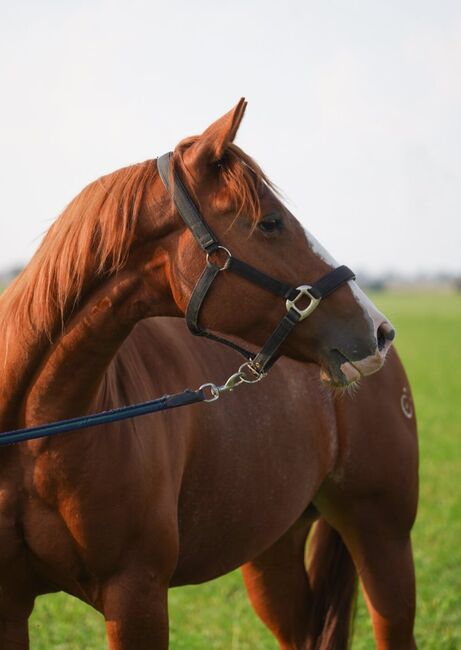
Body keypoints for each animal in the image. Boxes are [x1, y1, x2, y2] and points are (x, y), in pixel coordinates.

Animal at [0, 101, 416, 648]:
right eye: (271, 223)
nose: (378, 330)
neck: (37, 434)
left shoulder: (137, 594)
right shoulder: (9, 604)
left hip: (383, 538)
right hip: (274, 553)